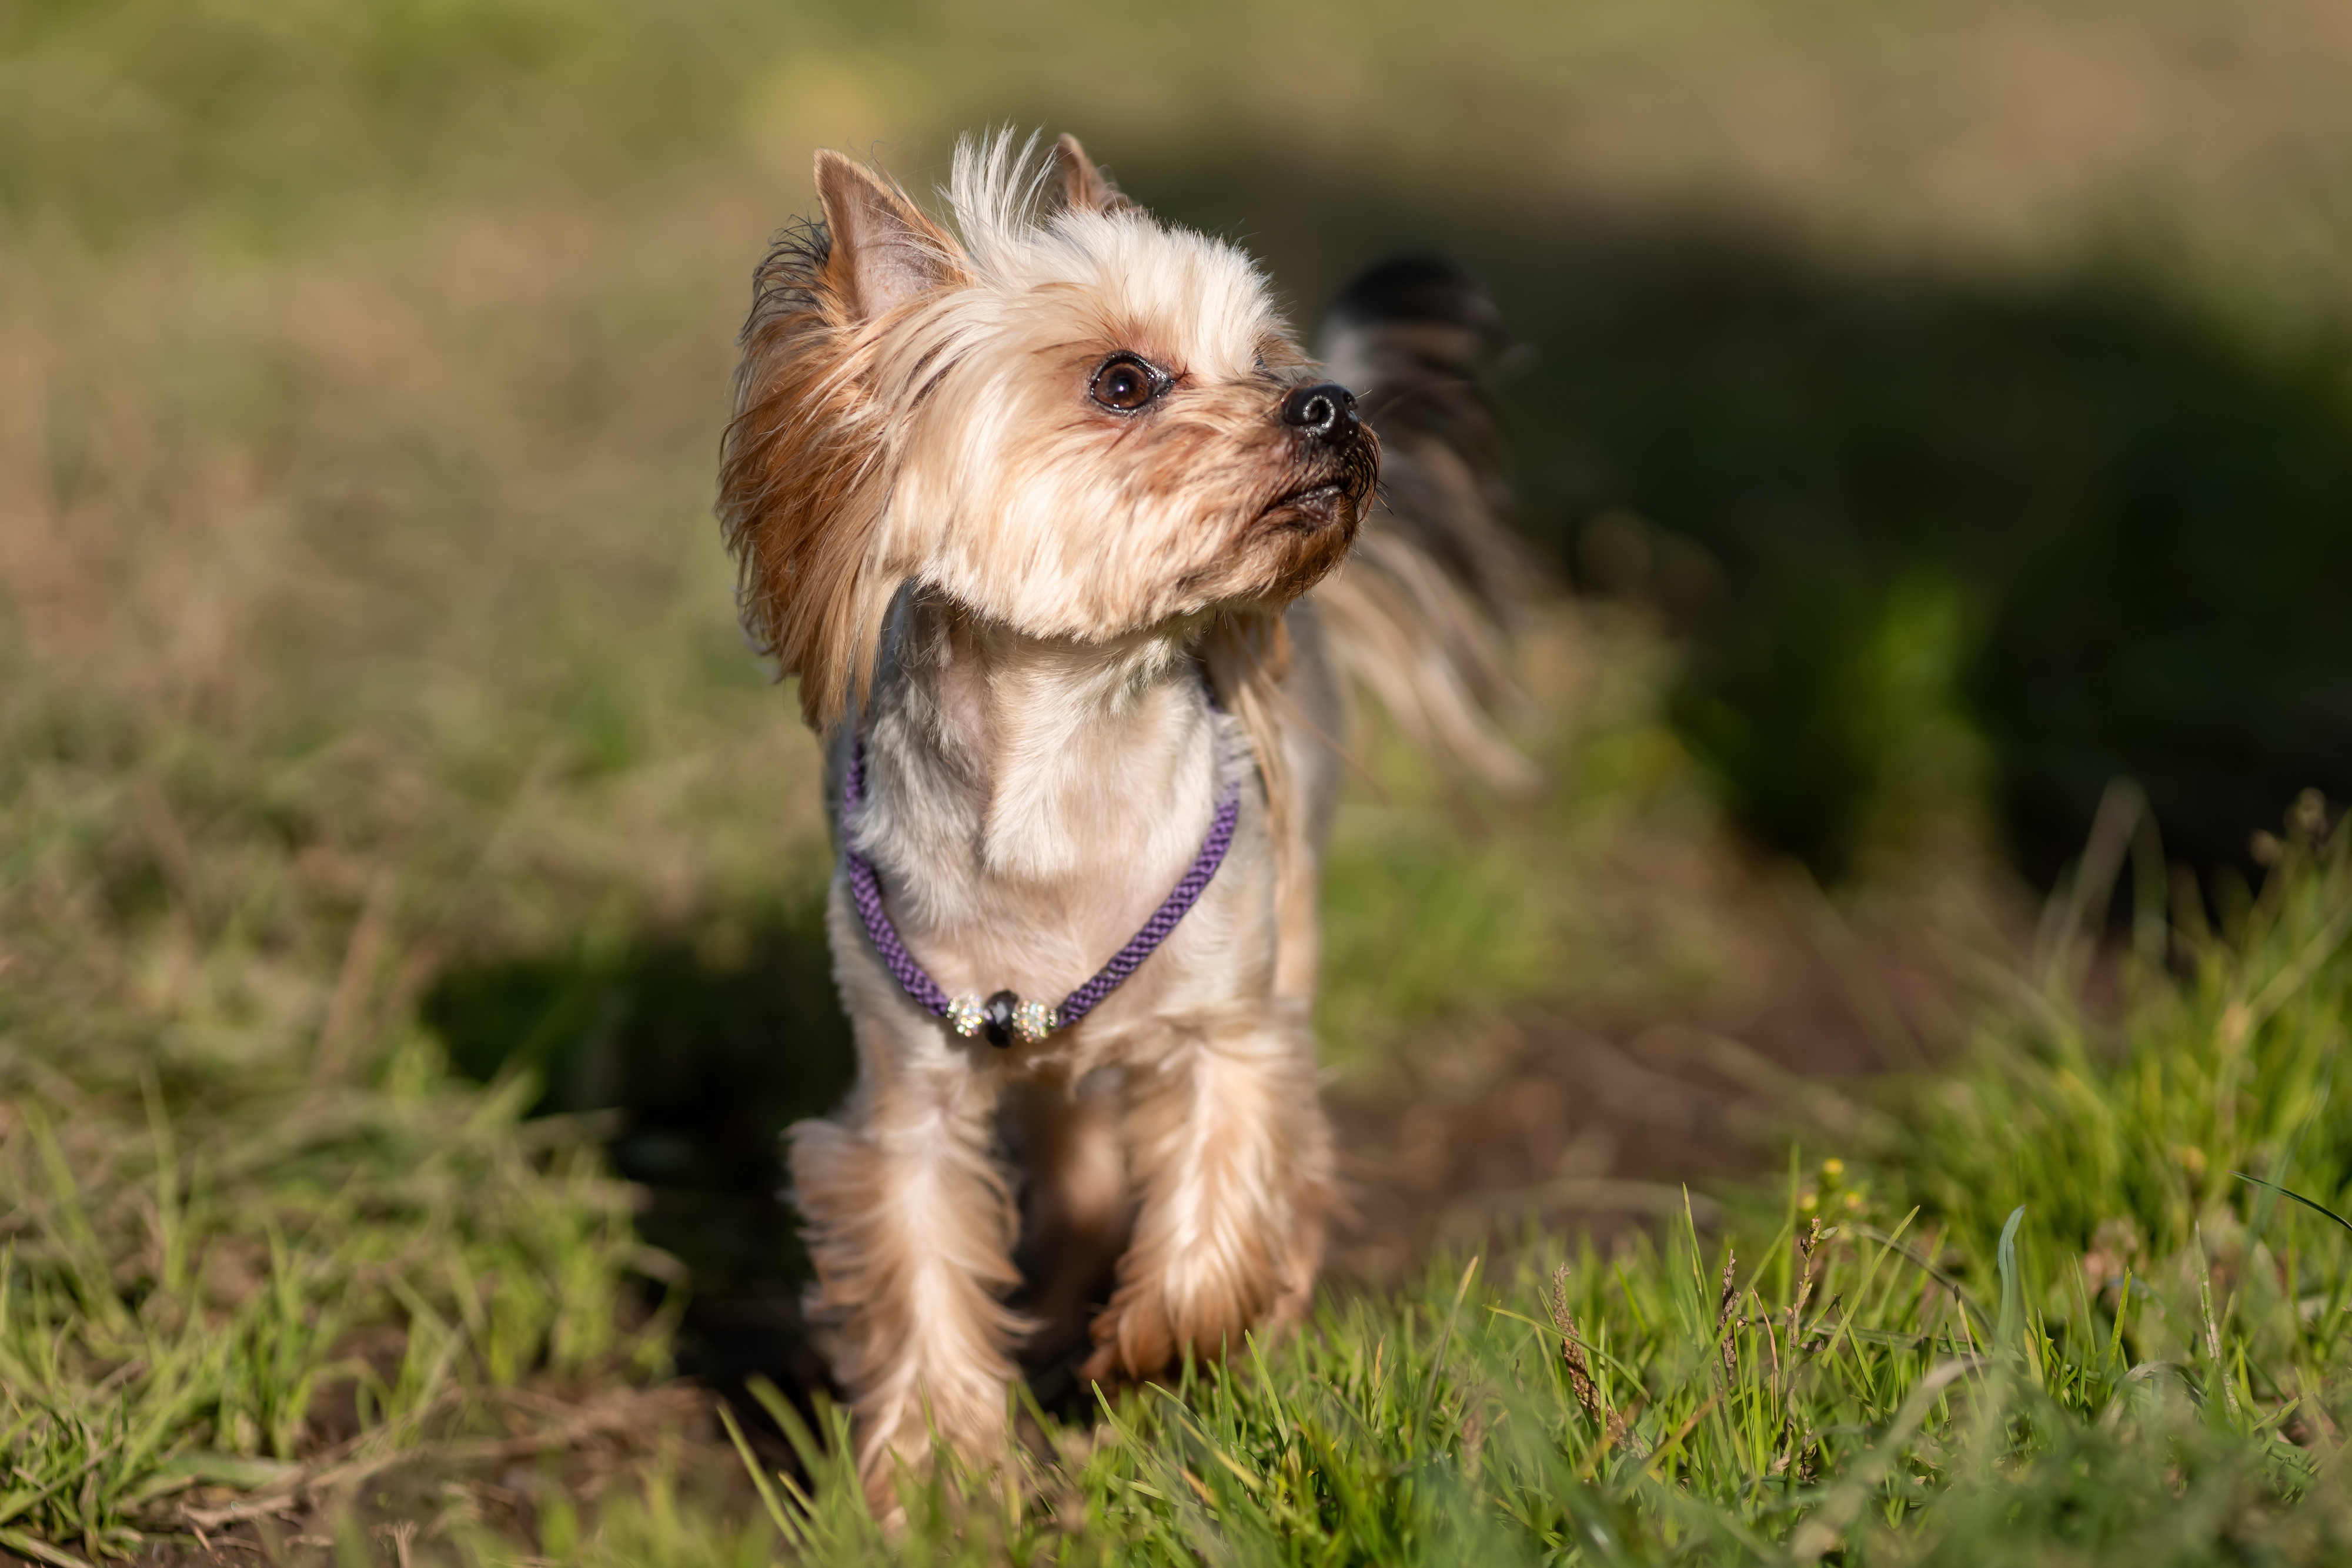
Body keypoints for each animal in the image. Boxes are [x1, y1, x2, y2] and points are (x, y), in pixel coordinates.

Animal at [715, 131, 1524, 1495]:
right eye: (1123, 380)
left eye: (1265, 359)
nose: (1327, 403)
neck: (1063, 753)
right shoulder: (906, 1094)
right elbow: (921, 1270)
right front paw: (937, 1481)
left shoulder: (1229, 1026)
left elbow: (1222, 1196)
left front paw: (1153, 1345)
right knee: (1076, 1158)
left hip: (1288, 919)